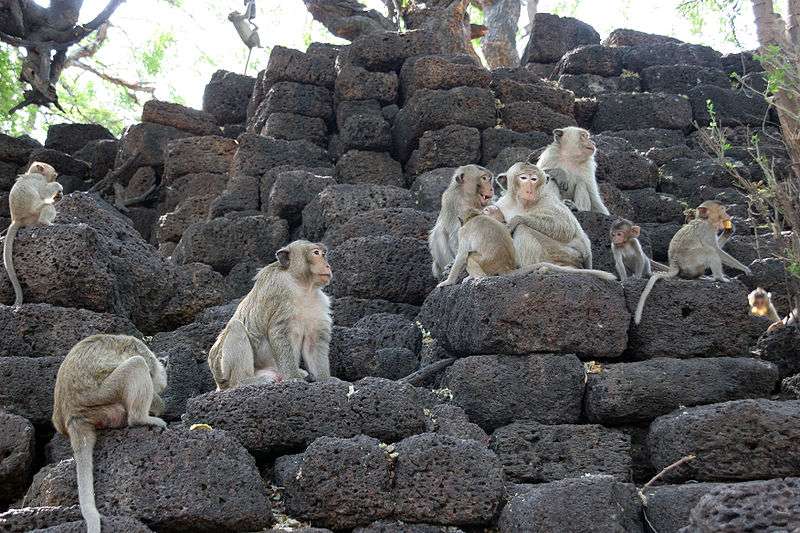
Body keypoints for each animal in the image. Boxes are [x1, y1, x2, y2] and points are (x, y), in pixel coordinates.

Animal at [3, 161, 63, 307]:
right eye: (55, 175)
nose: (55, 177)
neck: (32, 173)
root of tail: (17, 220)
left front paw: (58, 196)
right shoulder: (39, 180)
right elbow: (44, 191)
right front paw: (58, 187)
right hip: (33, 215)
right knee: (47, 207)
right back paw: (46, 222)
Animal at [52, 334, 167, 533]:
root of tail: (73, 415)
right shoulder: (142, 351)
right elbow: (144, 365)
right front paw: (160, 405)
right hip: (106, 396)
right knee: (136, 364)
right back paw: (141, 419)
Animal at [208, 240, 333, 389]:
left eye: (324, 253)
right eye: (316, 253)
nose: (328, 265)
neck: (302, 285)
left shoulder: (319, 302)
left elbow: (314, 341)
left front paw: (325, 380)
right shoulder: (279, 291)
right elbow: (279, 332)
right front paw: (294, 378)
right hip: (222, 371)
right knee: (236, 327)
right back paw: (244, 381)